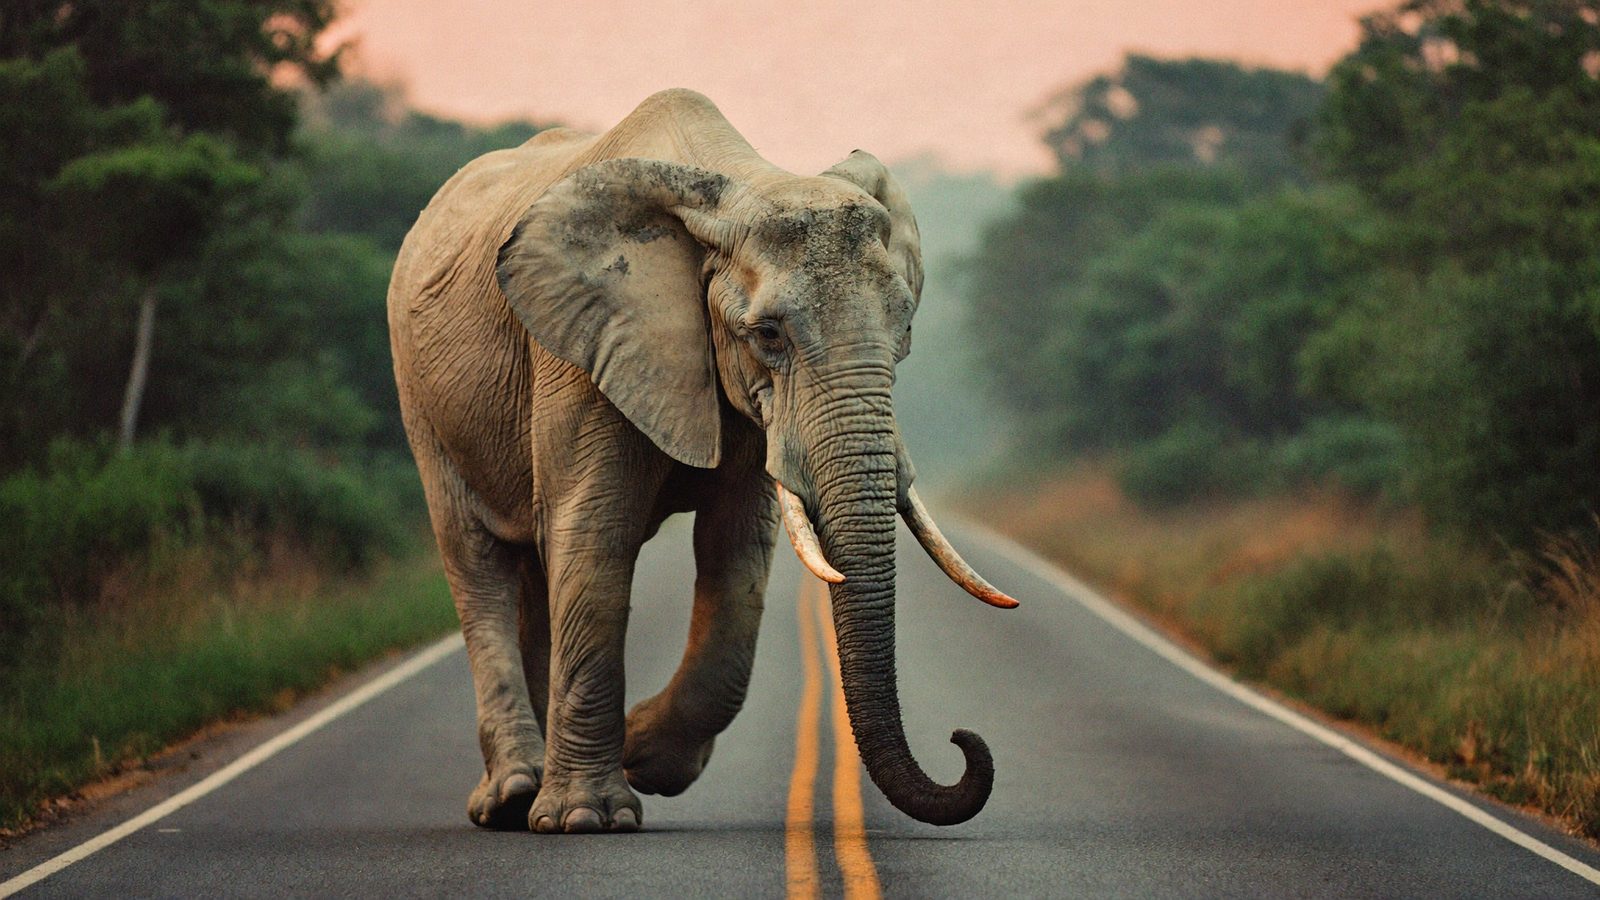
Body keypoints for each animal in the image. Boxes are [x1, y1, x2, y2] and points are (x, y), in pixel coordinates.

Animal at [387, 88, 1017, 835]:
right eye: (767, 334)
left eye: (907, 329)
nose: (963, 740)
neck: (736, 184)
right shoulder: (586, 348)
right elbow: (595, 538)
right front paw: (588, 818)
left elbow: (737, 553)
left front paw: (643, 755)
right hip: (422, 397)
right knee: (477, 562)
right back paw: (514, 797)